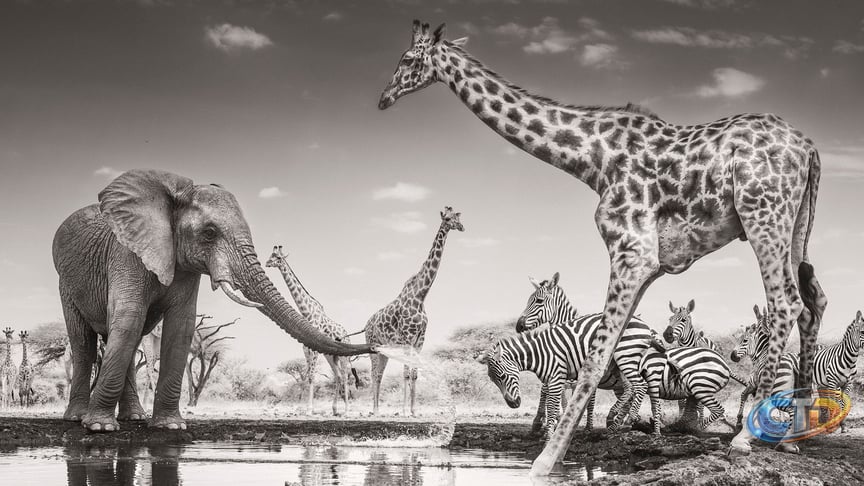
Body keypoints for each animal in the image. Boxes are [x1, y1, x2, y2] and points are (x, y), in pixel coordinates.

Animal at [53, 169, 373, 431]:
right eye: (209, 232)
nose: (374, 344)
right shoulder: (125, 253)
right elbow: (129, 319)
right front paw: (100, 428)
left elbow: (181, 327)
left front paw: (170, 426)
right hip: (65, 282)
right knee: (85, 341)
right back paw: (78, 418)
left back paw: (133, 418)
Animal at [477, 312, 653, 440]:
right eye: (493, 380)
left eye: (502, 376)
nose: (513, 404)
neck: (540, 353)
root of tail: (644, 323)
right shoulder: (553, 380)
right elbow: (555, 405)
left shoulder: (556, 377)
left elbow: (552, 407)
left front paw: (548, 436)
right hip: (619, 363)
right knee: (632, 388)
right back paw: (619, 422)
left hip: (626, 355)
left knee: (641, 385)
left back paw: (629, 419)